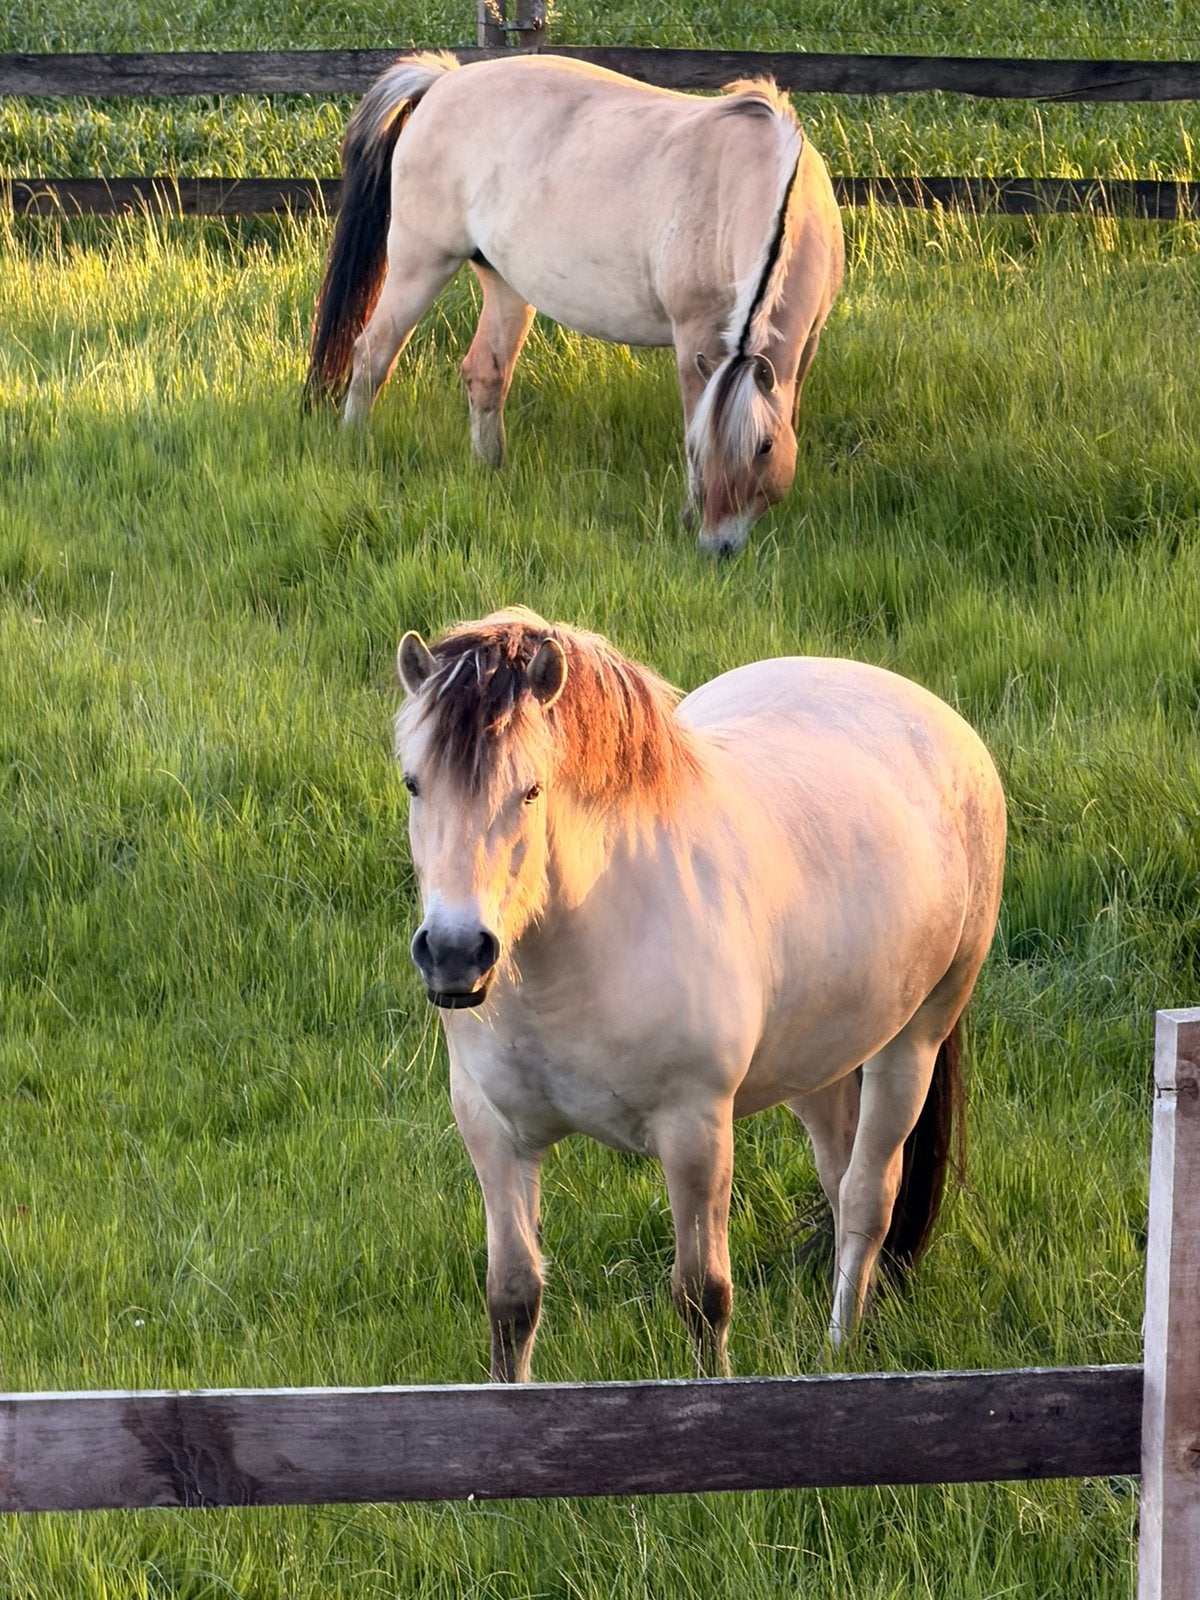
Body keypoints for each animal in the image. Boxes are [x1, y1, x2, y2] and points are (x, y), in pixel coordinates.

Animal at [307, 53, 844, 555]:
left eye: (765, 446)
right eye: (697, 448)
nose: (718, 546)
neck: (752, 178)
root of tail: (444, 79)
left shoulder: (807, 342)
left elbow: (790, 409)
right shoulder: (696, 339)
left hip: (505, 284)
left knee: (485, 373)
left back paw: (491, 469)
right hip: (420, 264)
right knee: (372, 352)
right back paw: (354, 444)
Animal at [393, 608, 1006, 1381]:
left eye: (530, 791)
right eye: (414, 784)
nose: (453, 953)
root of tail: (936, 718)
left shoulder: (695, 1132)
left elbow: (701, 1297)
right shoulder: (494, 1133)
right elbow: (512, 1299)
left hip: (914, 1041)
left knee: (869, 1195)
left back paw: (839, 1349)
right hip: (816, 1061)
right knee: (839, 1179)